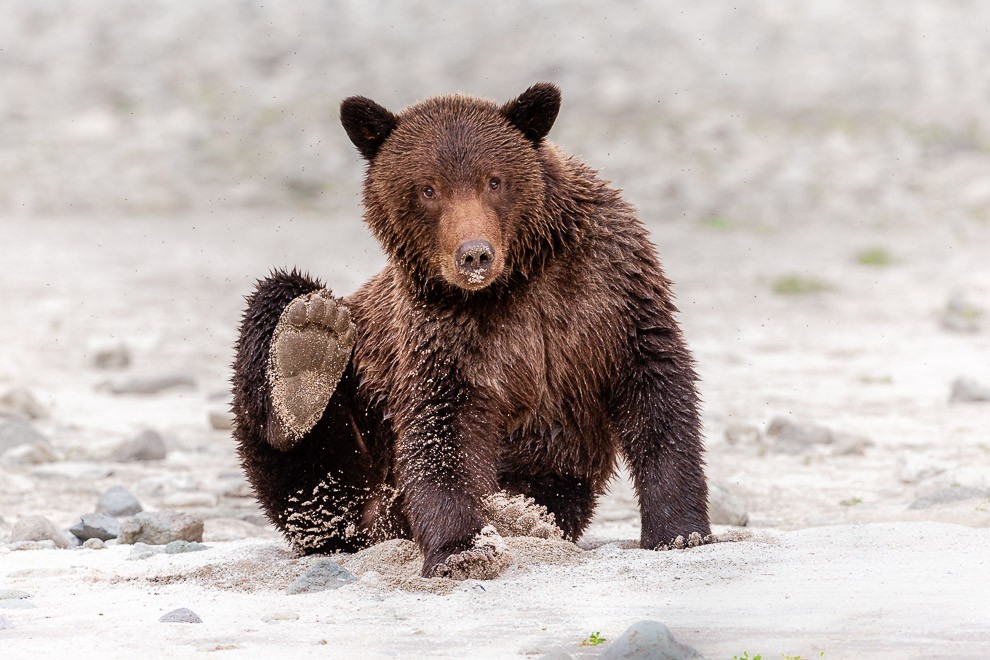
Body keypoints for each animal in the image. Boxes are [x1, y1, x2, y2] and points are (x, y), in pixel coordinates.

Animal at [232, 81, 712, 576]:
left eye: (494, 180)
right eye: (427, 188)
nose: (475, 254)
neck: (514, 280)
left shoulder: (608, 289)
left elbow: (655, 388)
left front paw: (680, 531)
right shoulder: (443, 330)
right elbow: (443, 430)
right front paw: (463, 548)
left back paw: (520, 514)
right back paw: (306, 355)